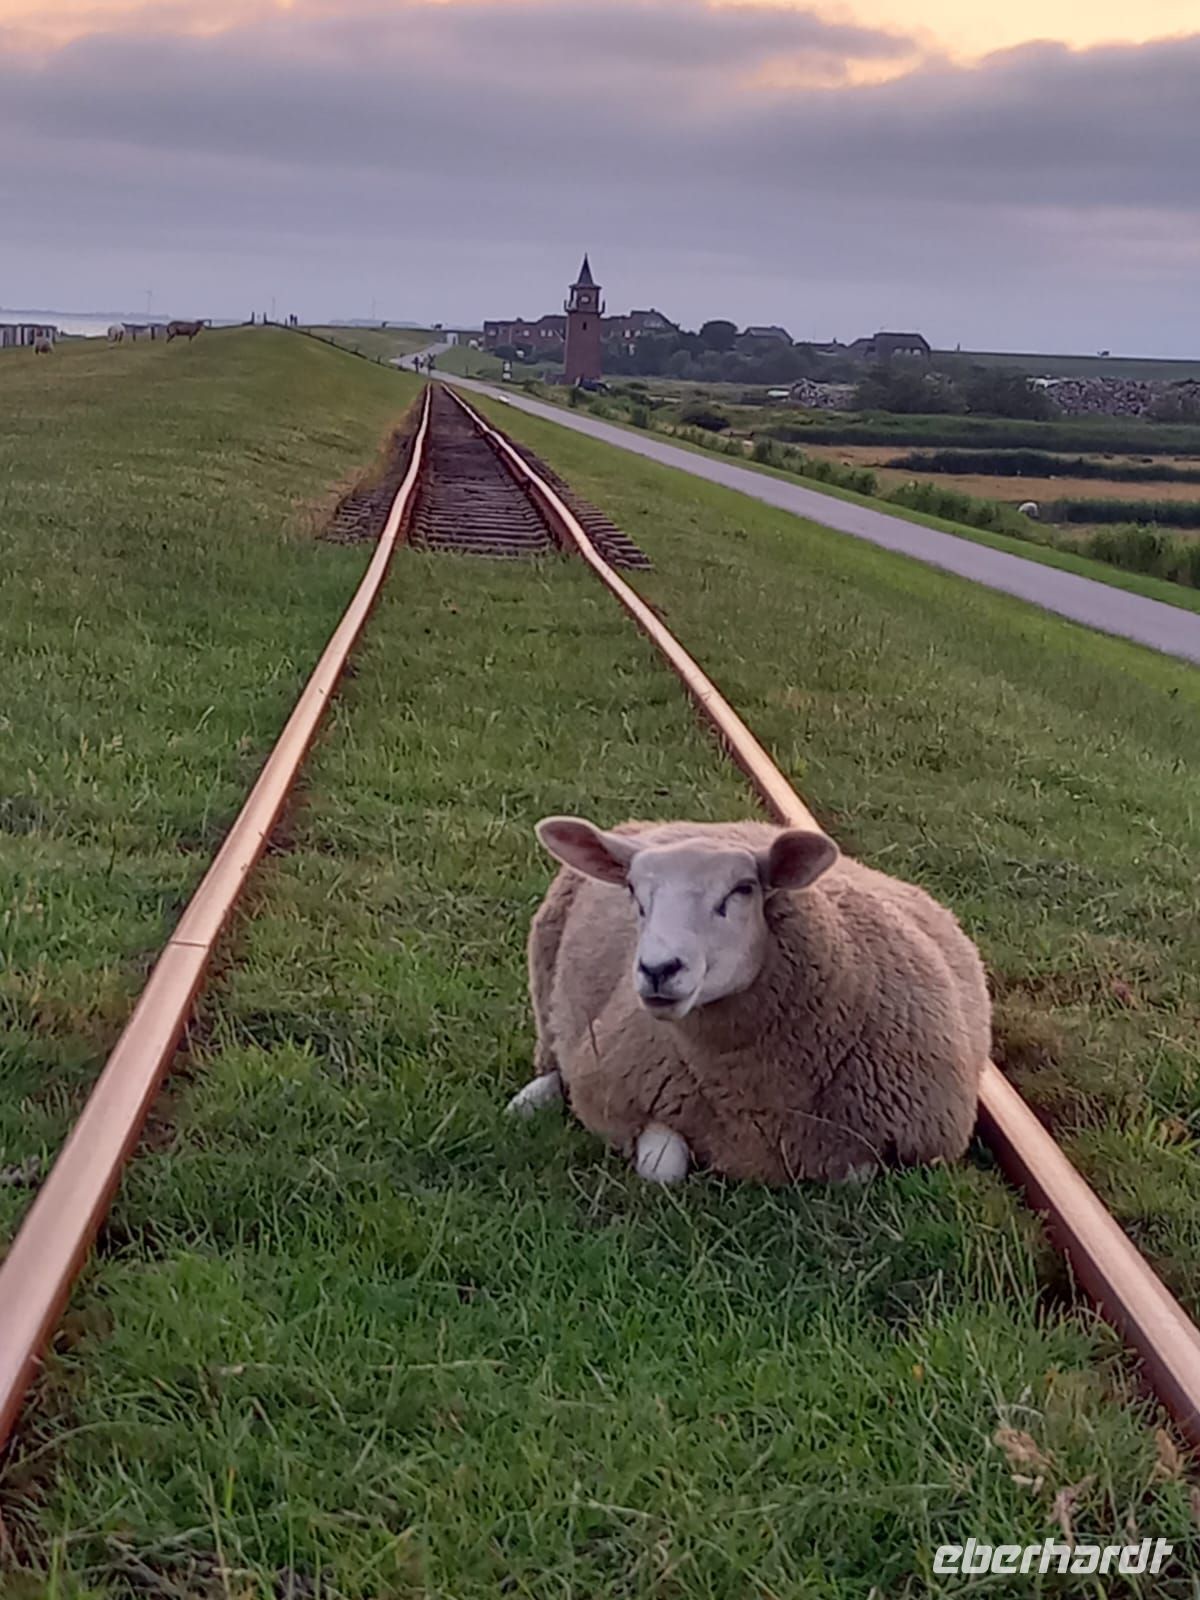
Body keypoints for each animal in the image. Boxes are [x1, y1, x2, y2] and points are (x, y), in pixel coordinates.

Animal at [508, 817, 990, 1186]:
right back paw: (530, 1101)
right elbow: (661, 1169)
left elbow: (855, 1174)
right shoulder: (617, 1093)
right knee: (553, 1055)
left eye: (742, 889)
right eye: (631, 890)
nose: (658, 969)